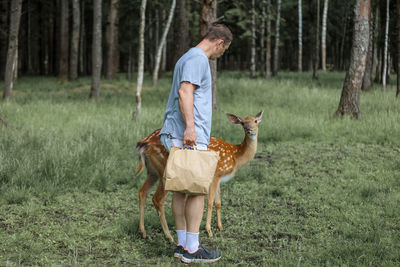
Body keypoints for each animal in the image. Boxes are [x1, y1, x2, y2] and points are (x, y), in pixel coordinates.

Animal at [136, 110, 264, 243]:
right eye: (243, 123)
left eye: (255, 121)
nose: (249, 130)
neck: (236, 155)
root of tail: (145, 143)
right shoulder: (216, 174)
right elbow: (210, 202)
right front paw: (209, 231)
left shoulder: (219, 177)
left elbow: (218, 202)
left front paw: (220, 227)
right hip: (165, 171)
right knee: (157, 199)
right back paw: (169, 236)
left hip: (152, 172)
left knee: (142, 192)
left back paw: (143, 232)